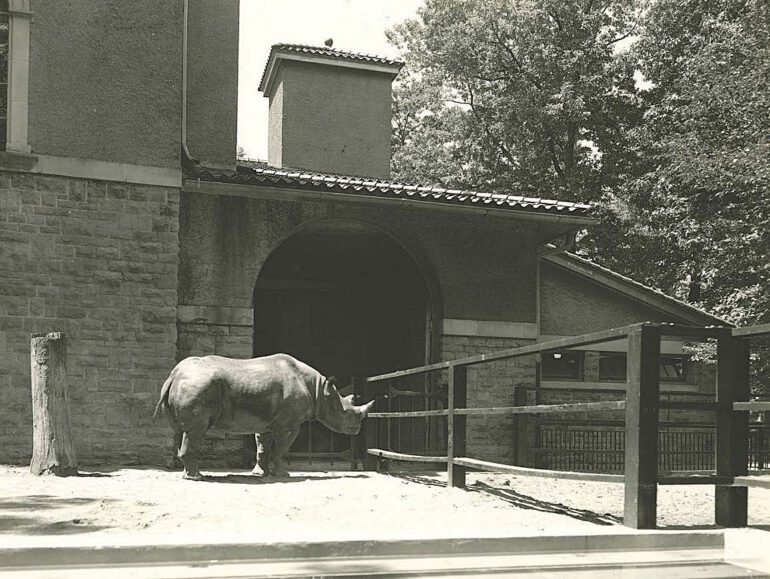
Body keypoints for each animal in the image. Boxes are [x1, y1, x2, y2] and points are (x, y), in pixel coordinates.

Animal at [153, 353, 374, 480]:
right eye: (344, 412)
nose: (357, 429)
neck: (319, 390)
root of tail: (174, 374)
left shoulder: (264, 421)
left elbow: (263, 446)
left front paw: (260, 474)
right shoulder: (290, 424)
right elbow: (282, 448)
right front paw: (283, 475)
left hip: (189, 384)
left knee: (183, 431)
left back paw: (189, 475)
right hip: (198, 385)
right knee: (195, 431)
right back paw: (197, 477)